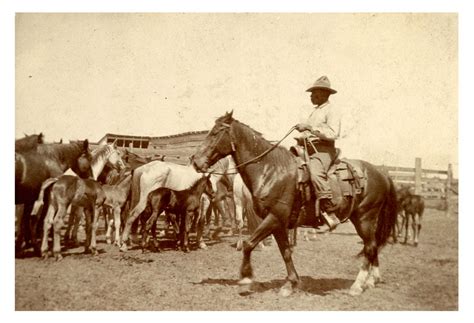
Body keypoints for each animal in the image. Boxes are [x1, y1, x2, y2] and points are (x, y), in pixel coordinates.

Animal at [191, 112, 398, 298]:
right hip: (362, 219)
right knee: (372, 246)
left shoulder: (274, 217)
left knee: (370, 247)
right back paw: (372, 280)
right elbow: (286, 252)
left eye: (215, 133)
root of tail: (380, 173)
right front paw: (290, 284)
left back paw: (357, 286)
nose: (195, 161)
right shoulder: (278, 223)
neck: (270, 170)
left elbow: (250, 244)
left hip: (365, 217)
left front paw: (246, 277)